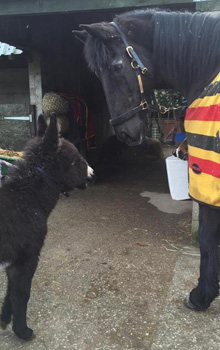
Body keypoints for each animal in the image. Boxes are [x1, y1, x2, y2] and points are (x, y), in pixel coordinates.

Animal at [74, 9, 220, 312]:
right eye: (96, 74)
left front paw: (201, 296)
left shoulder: (209, 175)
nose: (124, 134)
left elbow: (207, 235)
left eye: (117, 67)